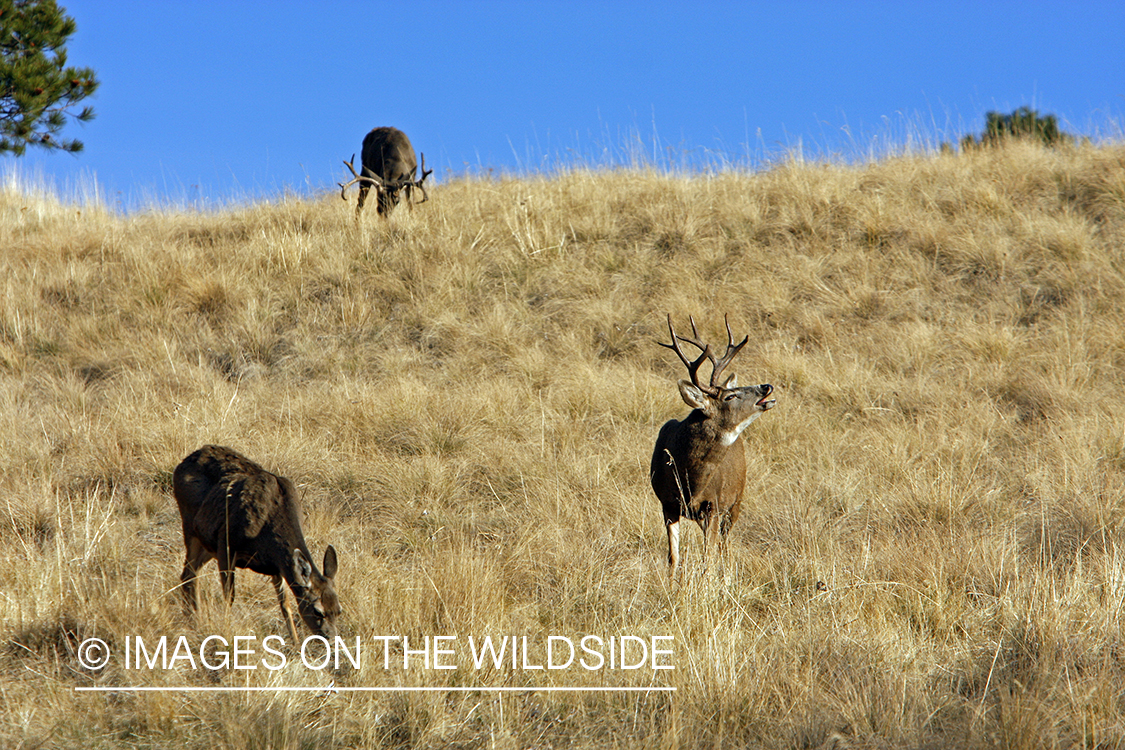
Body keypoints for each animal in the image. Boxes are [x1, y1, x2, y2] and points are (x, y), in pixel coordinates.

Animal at [173, 445, 341, 643]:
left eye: (338, 610)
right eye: (318, 611)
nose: (332, 639)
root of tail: (183, 463)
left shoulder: (277, 565)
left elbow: (285, 604)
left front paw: (296, 644)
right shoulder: (226, 544)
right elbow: (229, 596)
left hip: (205, 544)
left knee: (189, 574)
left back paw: (192, 619)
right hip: (190, 527)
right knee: (189, 574)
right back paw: (195, 621)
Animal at [650, 314, 776, 579]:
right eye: (730, 396)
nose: (766, 386)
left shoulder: (714, 505)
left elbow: (708, 559)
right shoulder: (667, 503)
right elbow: (673, 558)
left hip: (737, 498)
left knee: (725, 546)